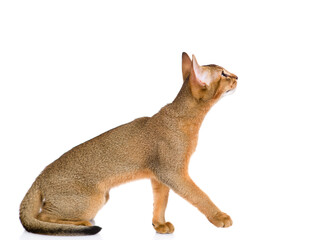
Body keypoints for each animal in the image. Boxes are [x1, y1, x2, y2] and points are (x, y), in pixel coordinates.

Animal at [18, 52, 238, 234]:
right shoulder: (174, 172)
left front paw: (159, 224)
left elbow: (161, 202)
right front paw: (219, 216)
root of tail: (39, 177)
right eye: (223, 74)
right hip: (93, 198)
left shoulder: (158, 176)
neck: (182, 117)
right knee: (42, 216)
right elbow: (199, 195)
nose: (236, 77)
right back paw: (82, 224)